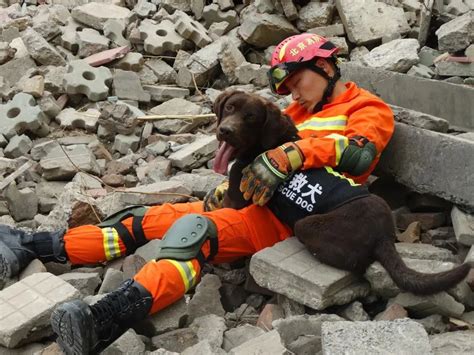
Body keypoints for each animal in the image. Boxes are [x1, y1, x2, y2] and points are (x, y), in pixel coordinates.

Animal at [212, 90, 470, 296]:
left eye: (251, 117)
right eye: (229, 107)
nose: (225, 130)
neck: (264, 146)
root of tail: (384, 236)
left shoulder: (235, 199)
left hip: (308, 225)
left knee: (355, 262)